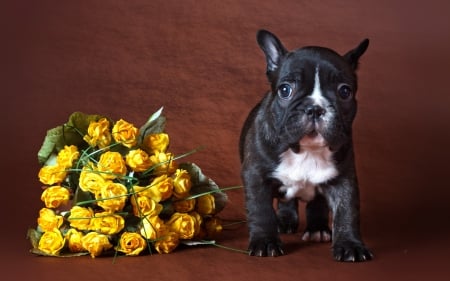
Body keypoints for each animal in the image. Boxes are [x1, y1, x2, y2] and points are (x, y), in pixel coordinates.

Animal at [239, 29, 372, 262]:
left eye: (344, 92)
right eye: (285, 90)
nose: (315, 108)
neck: (306, 150)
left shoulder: (343, 178)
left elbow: (347, 210)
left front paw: (350, 245)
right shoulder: (255, 175)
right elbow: (261, 210)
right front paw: (265, 241)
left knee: (316, 204)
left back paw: (317, 228)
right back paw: (285, 221)